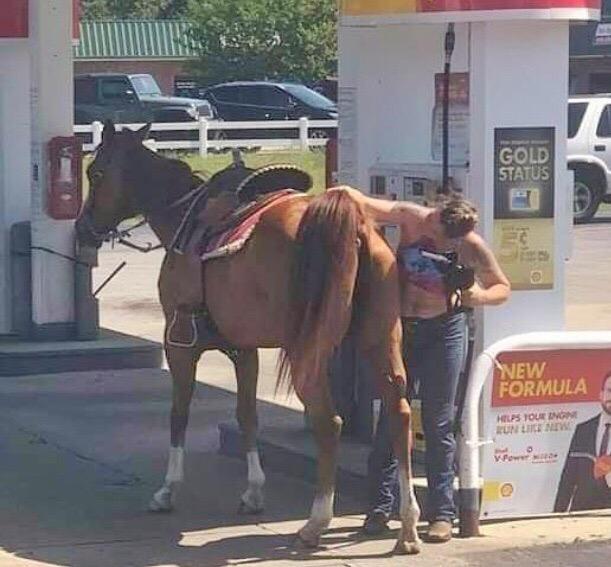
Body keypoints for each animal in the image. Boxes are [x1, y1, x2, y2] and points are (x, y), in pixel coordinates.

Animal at [74, 121, 424, 556]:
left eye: (96, 173)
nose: (82, 229)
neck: (184, 220)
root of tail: (350, 224)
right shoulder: (245, 349)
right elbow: (247, 415)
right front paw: (254, 492)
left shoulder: (179, 343)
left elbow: (179, 413)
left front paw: (168, 490)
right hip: (380, 340)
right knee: (399, 412)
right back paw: (408, 524)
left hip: (307, 351)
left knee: (329, 422)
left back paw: (316, 522)